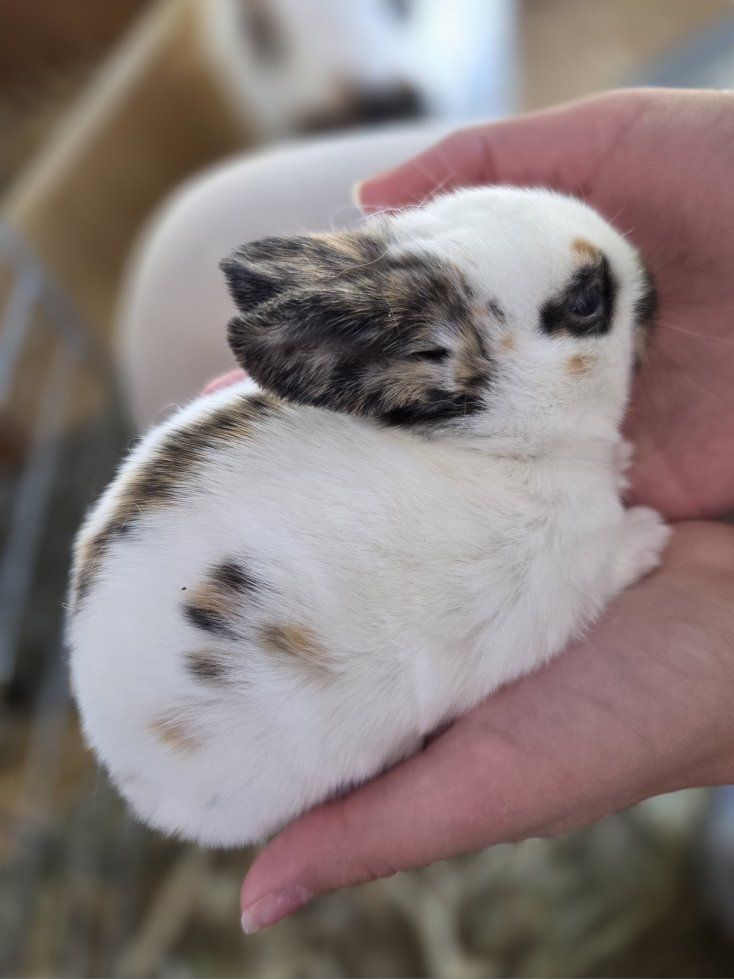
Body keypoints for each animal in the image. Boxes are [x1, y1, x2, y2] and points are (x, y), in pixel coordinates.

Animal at [67, 185, 670, 847]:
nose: (653, 278)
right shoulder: (573, 577)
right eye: (587, 302)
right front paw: (652, 537)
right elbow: (614, 562)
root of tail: (121, 760)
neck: (500, 449)